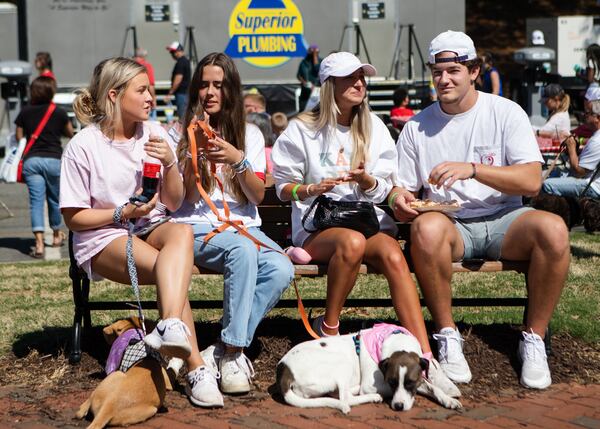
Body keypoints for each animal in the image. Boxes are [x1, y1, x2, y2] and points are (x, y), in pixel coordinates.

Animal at [274, 322, 462, 412]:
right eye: (392, 382)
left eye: (410, 382)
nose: (398, 407)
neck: (397, 341)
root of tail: (284, 369)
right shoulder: (372, 384)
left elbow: (432, 387)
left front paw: (448, 400)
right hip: (341, 362)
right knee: (345, 398)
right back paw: (371, 397)